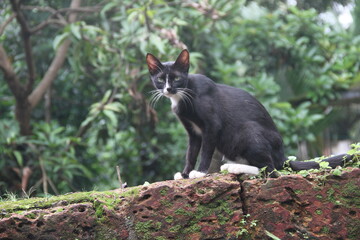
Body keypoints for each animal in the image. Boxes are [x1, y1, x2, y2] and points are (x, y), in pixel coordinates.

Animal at [146, 50, 354, 178]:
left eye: (177, 78)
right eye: (160, 80)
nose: (168, 89)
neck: (183, 97)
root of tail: (282, 156)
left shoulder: (212, 125)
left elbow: (205, 151)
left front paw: (201, 172)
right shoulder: (193, 132)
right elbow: (191, 153)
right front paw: (184, 174)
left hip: (248, 131)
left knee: (271, 170)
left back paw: (234, 167)